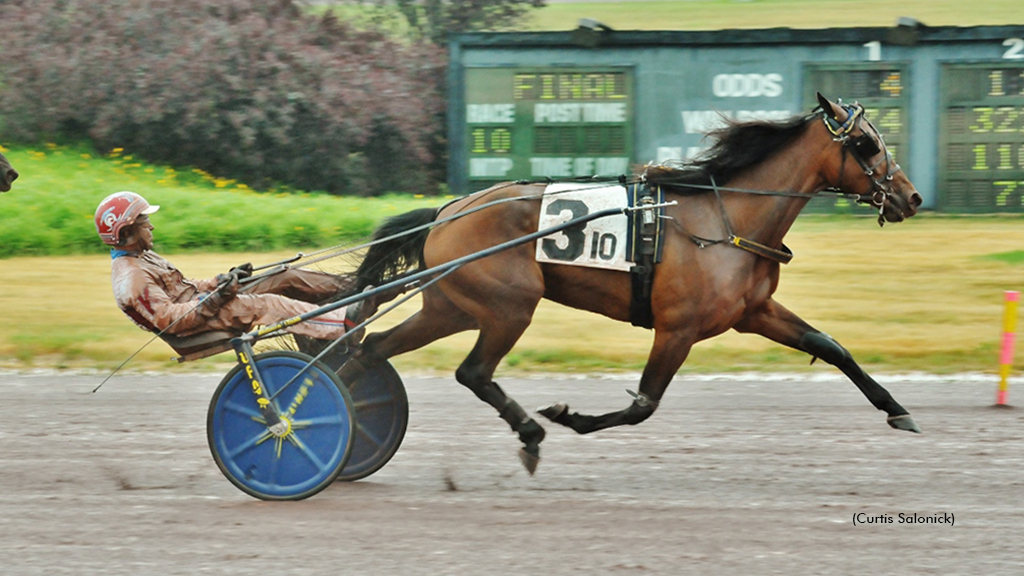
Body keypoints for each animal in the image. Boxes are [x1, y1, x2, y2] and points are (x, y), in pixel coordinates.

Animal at [339, 93, 925, 471]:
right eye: (867, 144)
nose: (911, 197)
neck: (725, 217)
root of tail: (447, 211)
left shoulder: (753, 313)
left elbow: (831, 346)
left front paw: (898, 411)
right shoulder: (677, 327)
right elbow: (644, 404)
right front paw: (570, 416)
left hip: (451, 307)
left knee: (372, 349)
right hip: (509, 306)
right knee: (473, 371)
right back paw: (531, 432)